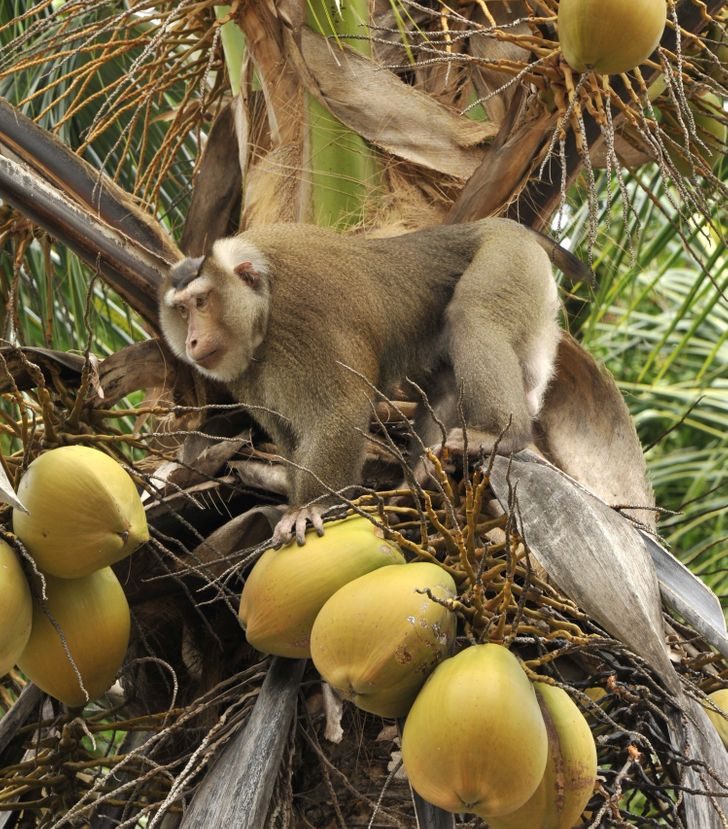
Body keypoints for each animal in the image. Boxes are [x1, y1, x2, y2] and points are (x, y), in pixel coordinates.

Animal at [161, 217, 592, 548]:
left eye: (202, 302)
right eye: (181, 310)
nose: (191, 340)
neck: (263, 310)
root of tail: (500, 222)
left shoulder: (304, 314)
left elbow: (340, 409)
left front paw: (311, 507)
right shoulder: (247, 374)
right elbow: (288, 437)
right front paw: (299, 502)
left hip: (509, 258)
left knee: (472, 315)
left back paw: (502, 434)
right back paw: (419, 482)